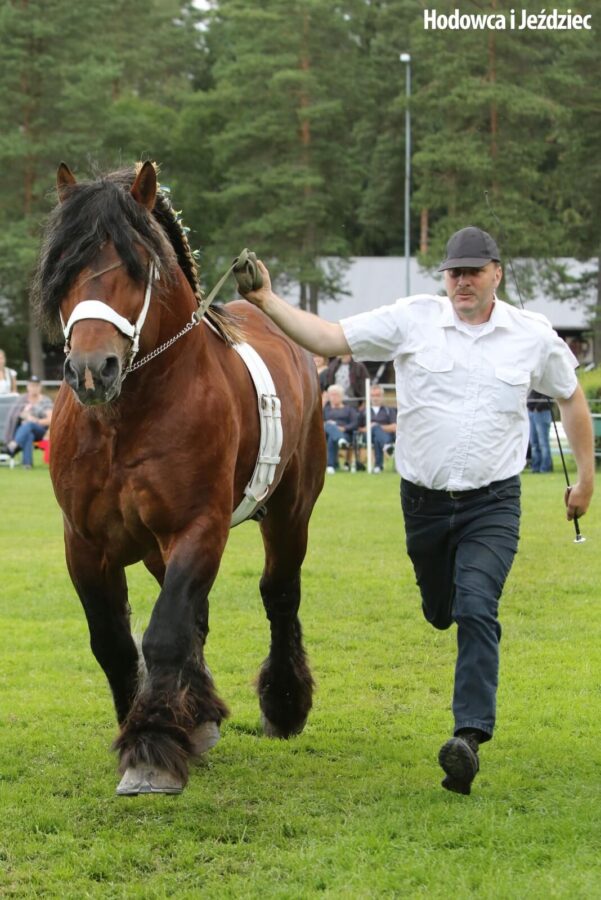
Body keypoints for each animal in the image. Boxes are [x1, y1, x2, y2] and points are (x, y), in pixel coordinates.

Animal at [32, 162, 324, 796]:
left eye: (137, 265)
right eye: (63, 267)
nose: (90, 370)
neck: (127, 420)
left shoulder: (198, 528)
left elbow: (165, 631)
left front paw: (151, 748)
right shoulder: (85, 543)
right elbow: (114, 642)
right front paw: (152, 727)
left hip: (290, 512)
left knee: (279, 595)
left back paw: (283, 703)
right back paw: (202, 716)